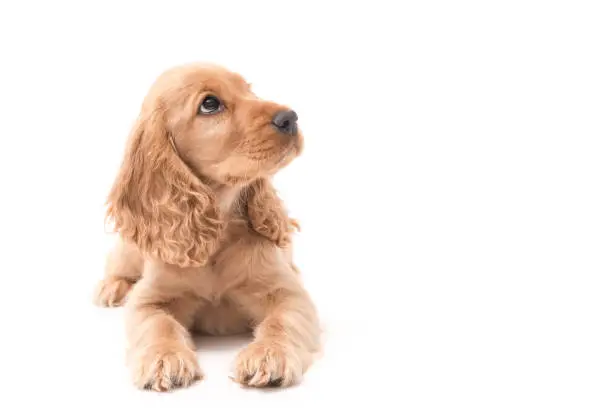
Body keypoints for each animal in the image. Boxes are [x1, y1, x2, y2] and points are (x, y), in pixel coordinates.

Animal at [94, 63, 322, 392]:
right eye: (210, 104)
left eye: (249, 90)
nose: (290, 117)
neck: (219, 230)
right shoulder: (151, 299)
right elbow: (158, 325)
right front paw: (164, 358)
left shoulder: (287, 292)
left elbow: (281, 321)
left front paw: (269, 354)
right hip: (129, 248)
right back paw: (112, 286)